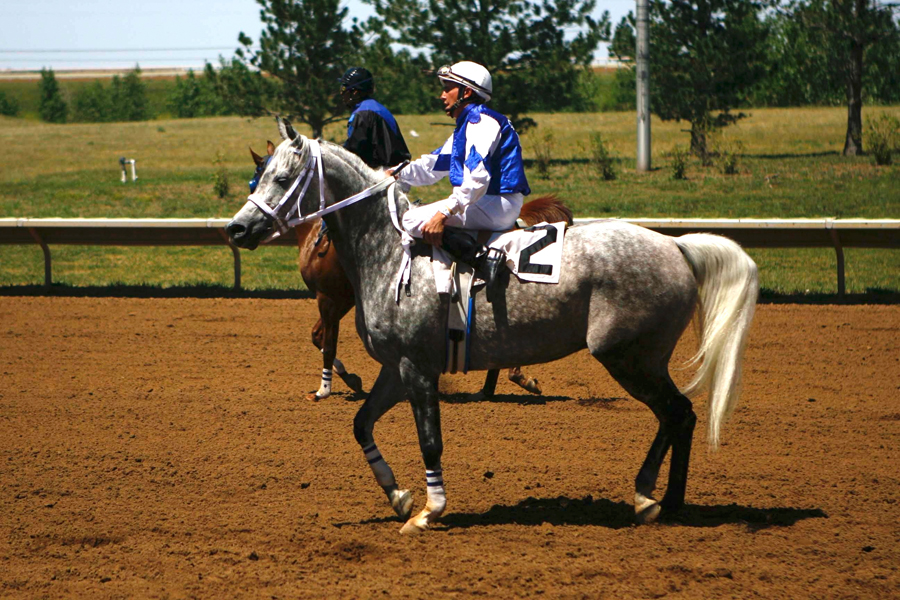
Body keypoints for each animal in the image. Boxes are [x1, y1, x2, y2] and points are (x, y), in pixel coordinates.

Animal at [248, 143, 568, 400]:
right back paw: (492, 387)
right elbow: (318, 338)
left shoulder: (330, 298)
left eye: (273, 179)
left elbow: (326, 342)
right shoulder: (341, 300)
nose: (243, 228)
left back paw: (513, 379)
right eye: (257, 181)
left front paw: (325, 388)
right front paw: (348, 380)